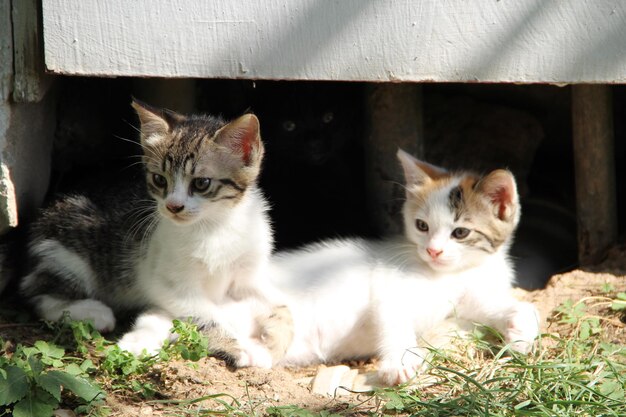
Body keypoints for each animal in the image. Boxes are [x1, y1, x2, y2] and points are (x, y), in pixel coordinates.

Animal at [20, 102, 278, 366]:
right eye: (159, 179)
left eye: (201, 183)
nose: (173, 206)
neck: (215, 226)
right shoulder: (171, 284)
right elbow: (205, 314)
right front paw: (236, 346)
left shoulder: (248, 272)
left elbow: (268, 300)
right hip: (67, 254)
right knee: (36, 294)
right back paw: (94, 312)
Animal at [264, 149, 536, 384]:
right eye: (422, 226)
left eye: (460, 232)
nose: (433, 251)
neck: (450, 275)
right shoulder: (391, 290)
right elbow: (394, 321)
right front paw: (399, 362)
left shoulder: (472, 297)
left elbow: (516, 308)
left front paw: (521, 334)